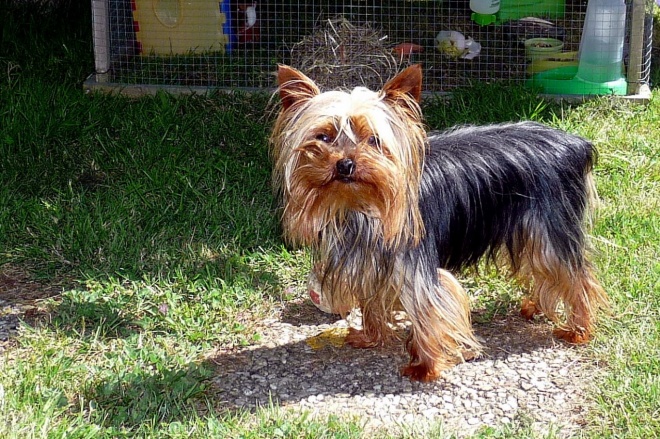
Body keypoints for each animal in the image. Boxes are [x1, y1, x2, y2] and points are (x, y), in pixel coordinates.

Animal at [268, 64, 608, 382]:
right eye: (323, 137)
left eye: (373, 140)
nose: (345, 164)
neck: (360, 207)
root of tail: (575, 144)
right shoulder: (371, 263)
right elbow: (372, 303)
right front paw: (370, 336)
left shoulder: (417, 270)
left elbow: (428, 310)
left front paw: (425, 366)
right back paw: (534, 306)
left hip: (550, 228)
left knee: (576, 277)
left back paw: (578, 330)